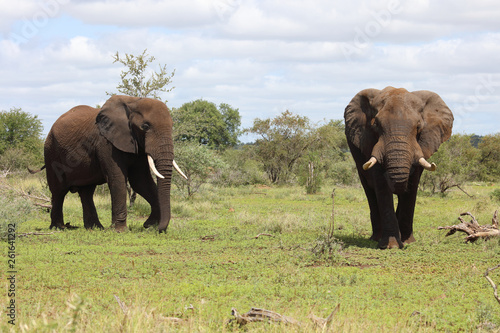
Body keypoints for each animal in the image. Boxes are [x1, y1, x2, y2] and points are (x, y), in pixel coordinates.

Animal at [33, 94, 187, 232]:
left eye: (172, 126)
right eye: (145, 126)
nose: (159, 229)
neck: (133, 101)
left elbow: (140, 181)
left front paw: (150, 224)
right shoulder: (106, 143)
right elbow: (117, 179)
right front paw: (120, 231)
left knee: (86, 192)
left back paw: (95, 228)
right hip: (51, 152)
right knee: (58, 191)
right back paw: (58, 228)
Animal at [344, 87, 454, 248]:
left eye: (418, 127)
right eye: (376, 125)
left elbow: (412, 186)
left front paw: (407, 242)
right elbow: (381, 186)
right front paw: (392, 245)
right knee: (370, 192)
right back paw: (376, 238)